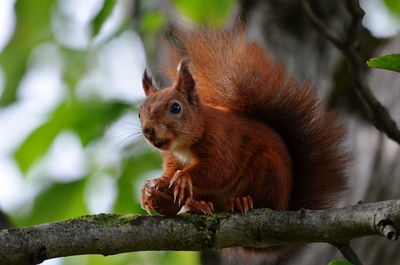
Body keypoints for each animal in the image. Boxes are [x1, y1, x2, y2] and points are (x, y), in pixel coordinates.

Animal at [138, 24, 346, 258]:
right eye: (139, 113)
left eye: (176, 107)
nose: (148, 131)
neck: (183, 146)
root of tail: (286, 205)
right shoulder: (172, 157)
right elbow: (170, 172)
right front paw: (151, 187)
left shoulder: (221, 139)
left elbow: (220, 169)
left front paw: (184, 177)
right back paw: (197, 204)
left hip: (268, 168)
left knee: (261, 199)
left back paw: (242, 201)